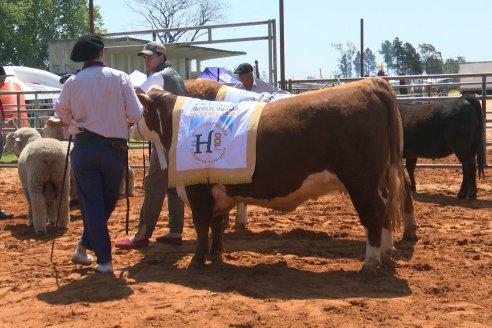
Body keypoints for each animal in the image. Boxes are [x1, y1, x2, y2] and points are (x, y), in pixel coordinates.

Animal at [135, 78, 418, 270]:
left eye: (143, 110)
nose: (132, 124)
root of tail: (370, 84)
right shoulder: (218, 190)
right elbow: (216, 224)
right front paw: (216, 254)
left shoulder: (198, 191)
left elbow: (202, 226)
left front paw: (196, 260)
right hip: (376, 179)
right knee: (386, 208)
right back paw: (386, 252)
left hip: (361, 182)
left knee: (374, 213)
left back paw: (370, 261)